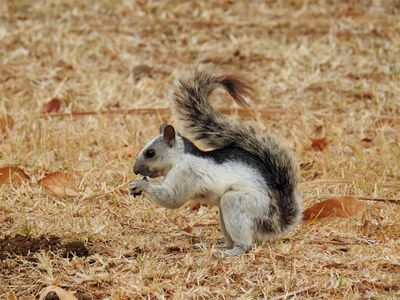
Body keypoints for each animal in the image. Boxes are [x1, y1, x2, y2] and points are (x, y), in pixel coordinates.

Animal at [130, 65, 302, 255]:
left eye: (150, 153)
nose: (135, 170)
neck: (180, 158)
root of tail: (274, 224)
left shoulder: (187, 173)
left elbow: (172, 198)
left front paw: (141, 184)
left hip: (237, 203)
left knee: (245, 243)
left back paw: (230, 252)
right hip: (224, 211)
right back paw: (217, 246)